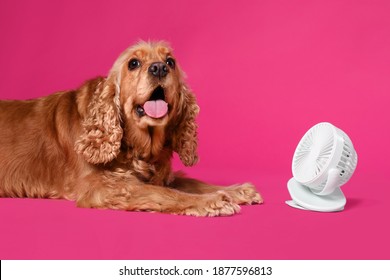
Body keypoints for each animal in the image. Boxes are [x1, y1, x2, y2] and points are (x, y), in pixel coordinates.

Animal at [0, 41, 264, 217]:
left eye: (170, 62)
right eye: (133, 63)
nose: (159, 68)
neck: (137, 144)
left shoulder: (161, 176)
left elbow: (192, 182)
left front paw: (236, 190)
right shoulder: (102, 187)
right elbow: (165, 193)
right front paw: (212, 201)